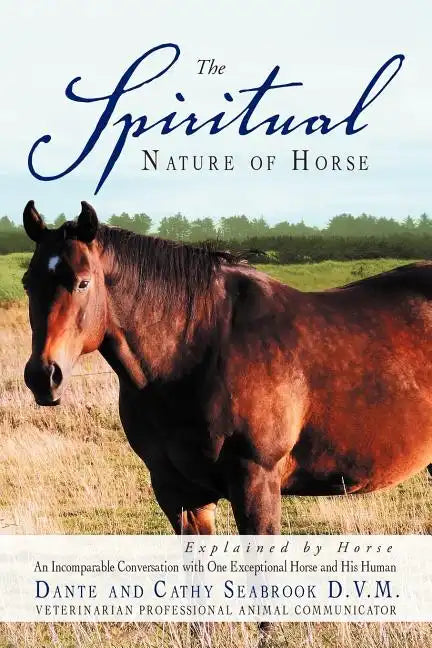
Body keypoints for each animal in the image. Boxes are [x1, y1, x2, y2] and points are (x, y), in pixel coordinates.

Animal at [22, 200, 432, 536]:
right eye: (28, 284)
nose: (43, 376)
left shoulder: (256, 484)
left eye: (83, 282)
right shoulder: (180, 494)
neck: (194, 351)